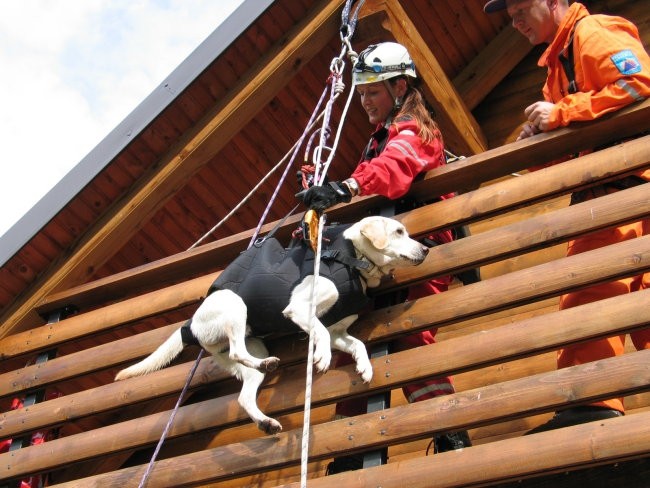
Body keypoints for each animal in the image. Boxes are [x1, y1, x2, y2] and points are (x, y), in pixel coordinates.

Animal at [115, 217, 430, 434]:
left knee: (244, 394)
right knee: (237, 351)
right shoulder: (300, 309)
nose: (426, 249)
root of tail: (190, 325)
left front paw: (364, 367)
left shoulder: (338, 331)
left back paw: (265, 415)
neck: (354, 260)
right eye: (399, 232)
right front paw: (322, 356)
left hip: (251, 351)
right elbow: (320, 332)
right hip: (236, 305)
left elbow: (357, 343)